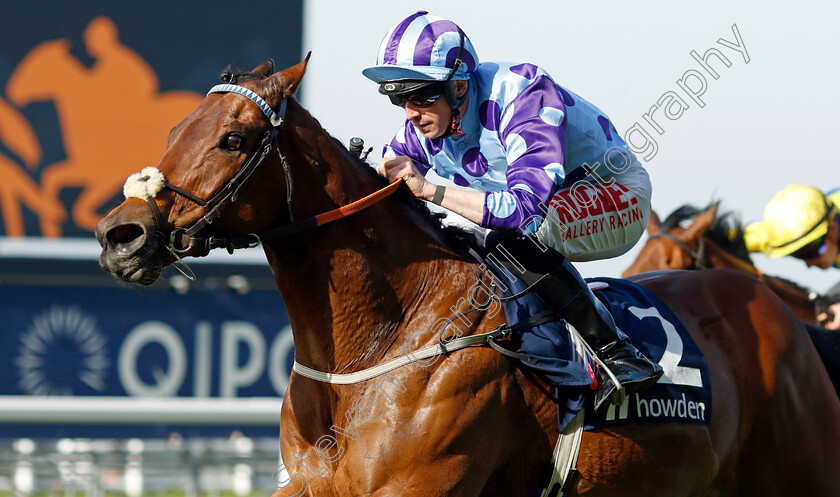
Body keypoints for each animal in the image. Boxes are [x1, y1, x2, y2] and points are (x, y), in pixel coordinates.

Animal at [93, 56, 840, 494]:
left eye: (234, 139)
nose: (121, 235)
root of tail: (787, 321)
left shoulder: (421, 485)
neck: (381, 342)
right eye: (175, 131)